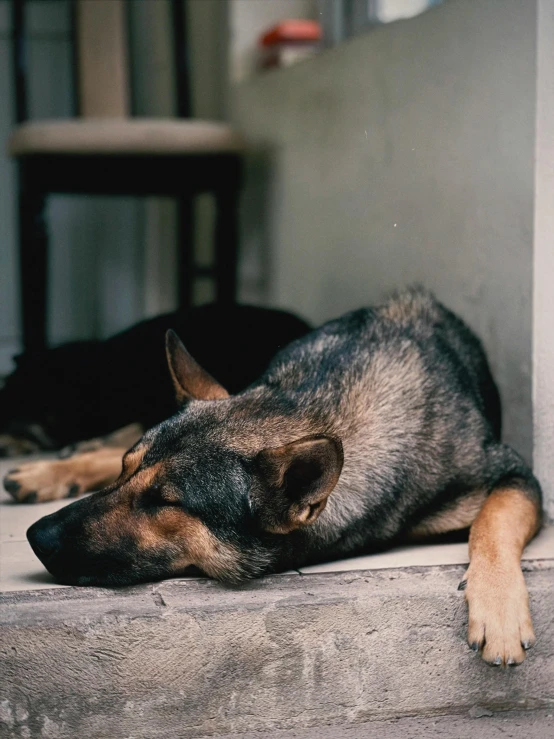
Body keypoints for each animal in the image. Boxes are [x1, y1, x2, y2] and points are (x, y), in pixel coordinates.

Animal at [5, 290, 540, 672]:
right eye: (126, 469)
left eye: (164, 502)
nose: (35, 535)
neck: (318, 409)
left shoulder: (516, 475)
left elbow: (492, 522)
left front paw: (499, 610)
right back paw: (51, 466)